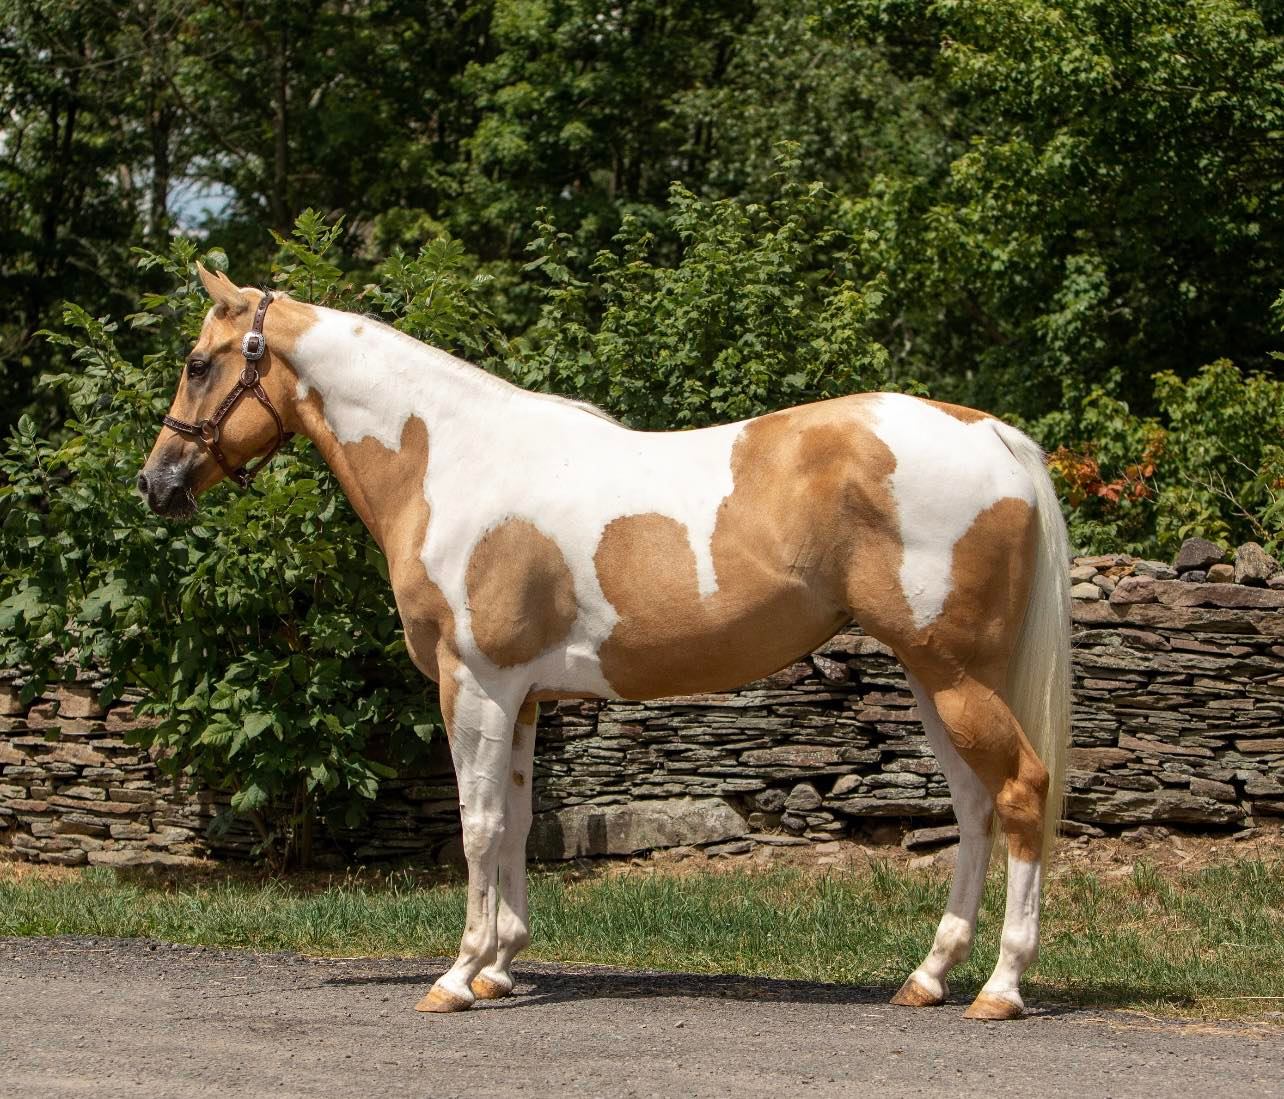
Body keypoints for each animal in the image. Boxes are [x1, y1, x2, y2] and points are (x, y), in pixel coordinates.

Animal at [139, 265, 1071, 1021]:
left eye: (197, 363)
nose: (156, 483)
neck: (451, 458)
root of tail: (990, 432)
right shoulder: (521, 698)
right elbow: (517, 822)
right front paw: (500, 967)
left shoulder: (474, 683)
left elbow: (478, 823)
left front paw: (456, 975)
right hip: (932, 677)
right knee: (975, 807)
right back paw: (928, 975)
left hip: (955, 674)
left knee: (1022, 791)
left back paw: (1000, 987)